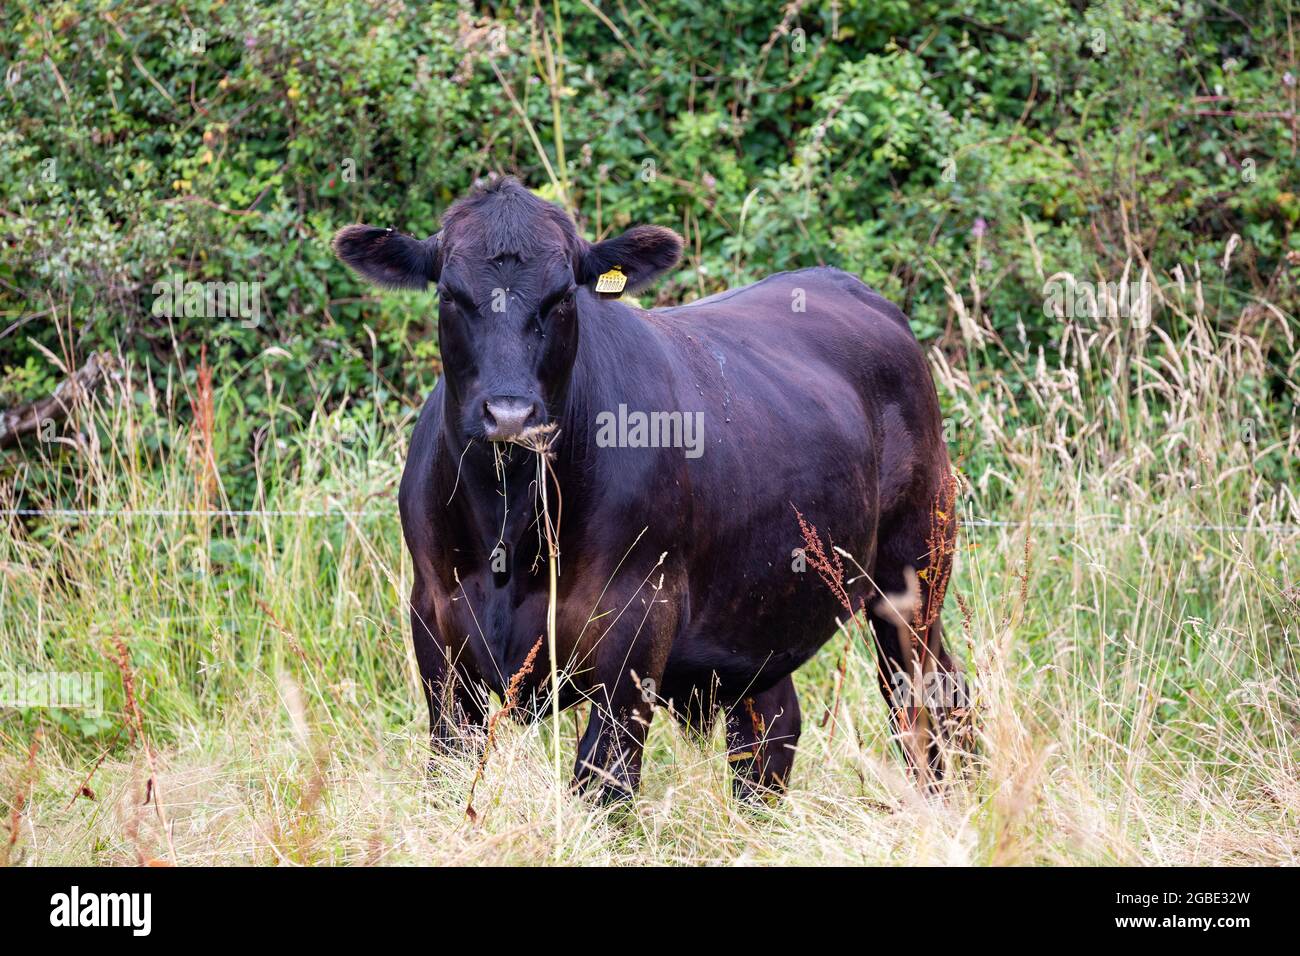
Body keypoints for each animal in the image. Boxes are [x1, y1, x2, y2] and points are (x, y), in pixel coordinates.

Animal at [333, 176, 966, 801]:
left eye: (564, 297)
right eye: (449, 295)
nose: (510, 414)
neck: (510, 522)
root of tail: (851, 287)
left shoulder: (636, 625)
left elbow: (603, 781)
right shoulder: (434, 621)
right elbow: (448, 766)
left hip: (913, 574)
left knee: (925, 697)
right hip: (758, 612)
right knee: (772, 727)